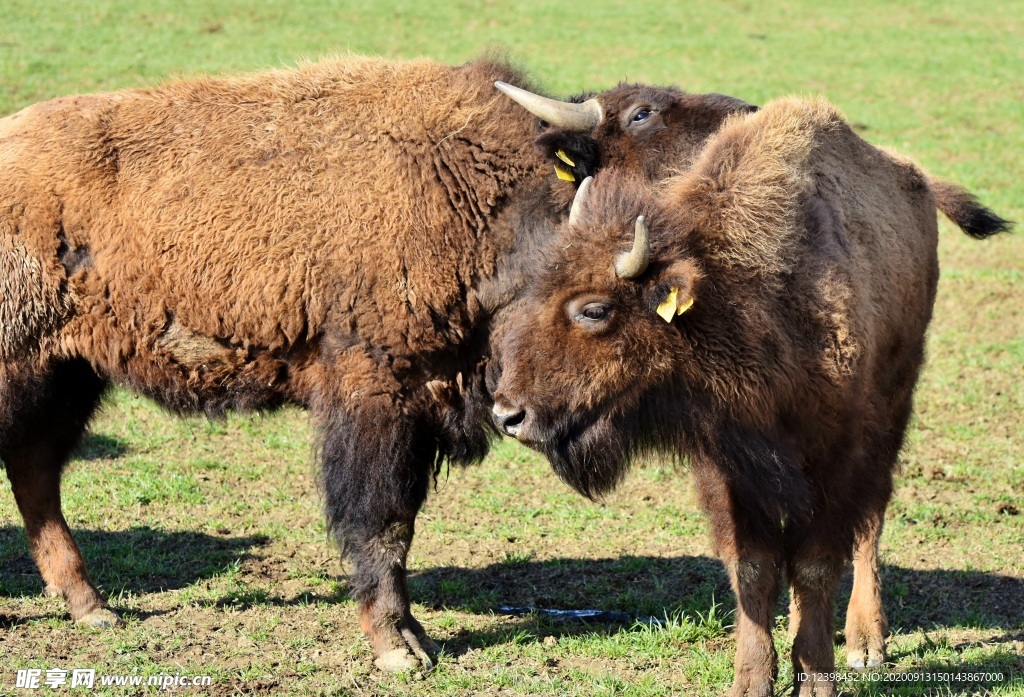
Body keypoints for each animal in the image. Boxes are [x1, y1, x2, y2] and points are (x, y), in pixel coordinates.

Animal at [0, 55, 753, 667]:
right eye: (642, 112)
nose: (747, 113)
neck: (480, 189)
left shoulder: (424, 401)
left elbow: (401, 521)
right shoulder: (375, 394)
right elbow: (381, 521)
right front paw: (398, 647)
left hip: (69, 374)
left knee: (36, 470)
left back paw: (93, 607)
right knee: (32, 466)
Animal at [491, 95, 1011, 691]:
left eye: (595, 309)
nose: (508, 413)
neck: (737, 295)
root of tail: (916, 178)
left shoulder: (836, 455)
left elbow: (815, 563)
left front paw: (817, 677)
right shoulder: (728, 468)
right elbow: (754, 569)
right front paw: (754, 679)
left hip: (893, 405)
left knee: (871, 521)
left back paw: (865, 643)